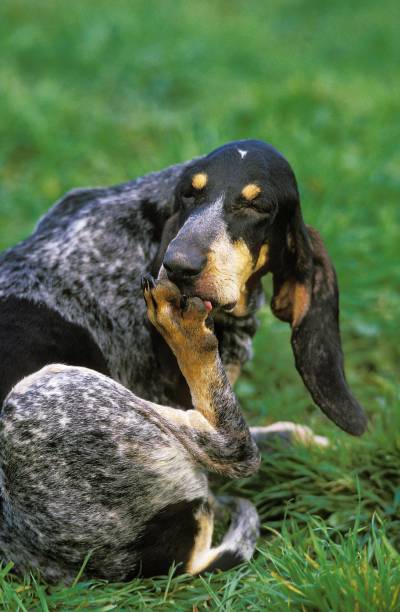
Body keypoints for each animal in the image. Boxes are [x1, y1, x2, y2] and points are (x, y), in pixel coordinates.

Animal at [0, 140, 368, 584]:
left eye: (257, 205)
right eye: (191, 195)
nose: (178, 266)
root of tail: (165, 562)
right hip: (39, 392)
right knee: (235, 449)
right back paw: (189, 338)